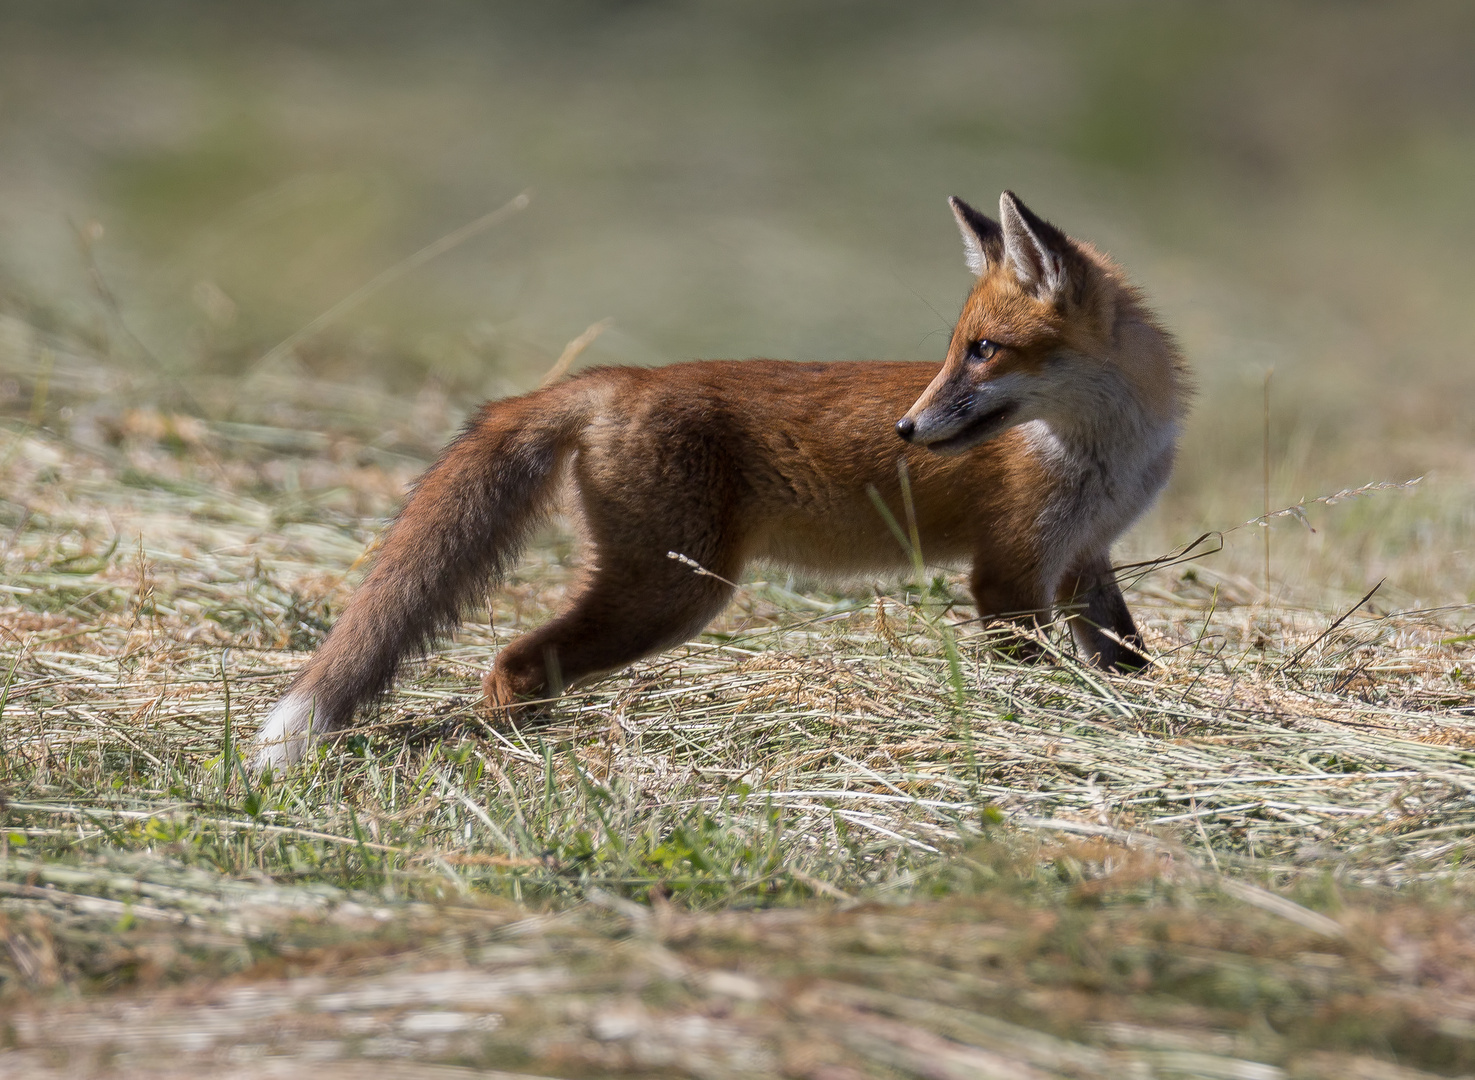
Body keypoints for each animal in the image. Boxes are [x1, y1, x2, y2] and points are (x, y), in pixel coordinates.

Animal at [256, 194, 1185, 767]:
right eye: (957, 349)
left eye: (984, 349)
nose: (906, 430)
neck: (1105, 450)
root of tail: (616, 378)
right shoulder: (1007, 574)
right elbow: (1033, 666)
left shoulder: (1083, 559)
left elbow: (1128, 655)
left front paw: (1148, 705)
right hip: (671, 593)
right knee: (514, 660)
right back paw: (514, 747)